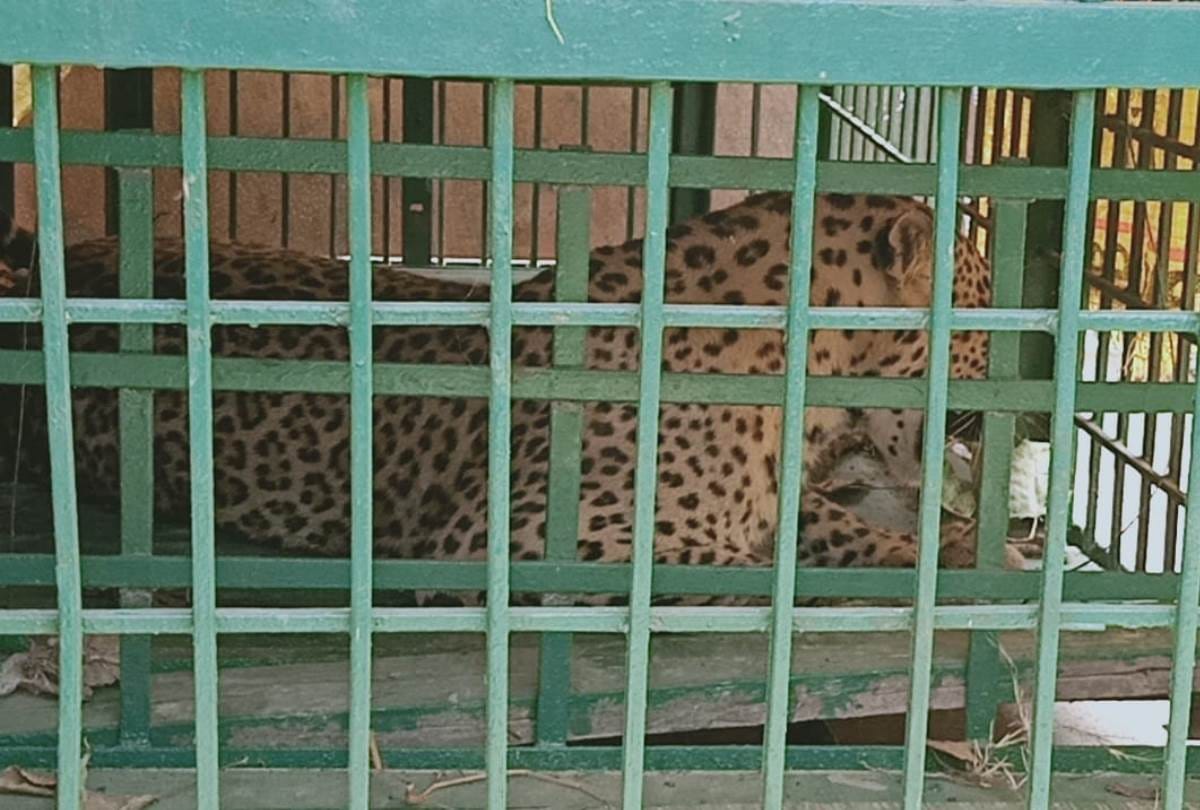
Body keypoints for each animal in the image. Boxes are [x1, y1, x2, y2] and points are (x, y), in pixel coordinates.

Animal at [0, 191, 1012, 607]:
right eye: (980, 310)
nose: (1006, 400)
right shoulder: (517, 540)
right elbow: (752, 576)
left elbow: (839, 534)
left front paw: (963, 555)